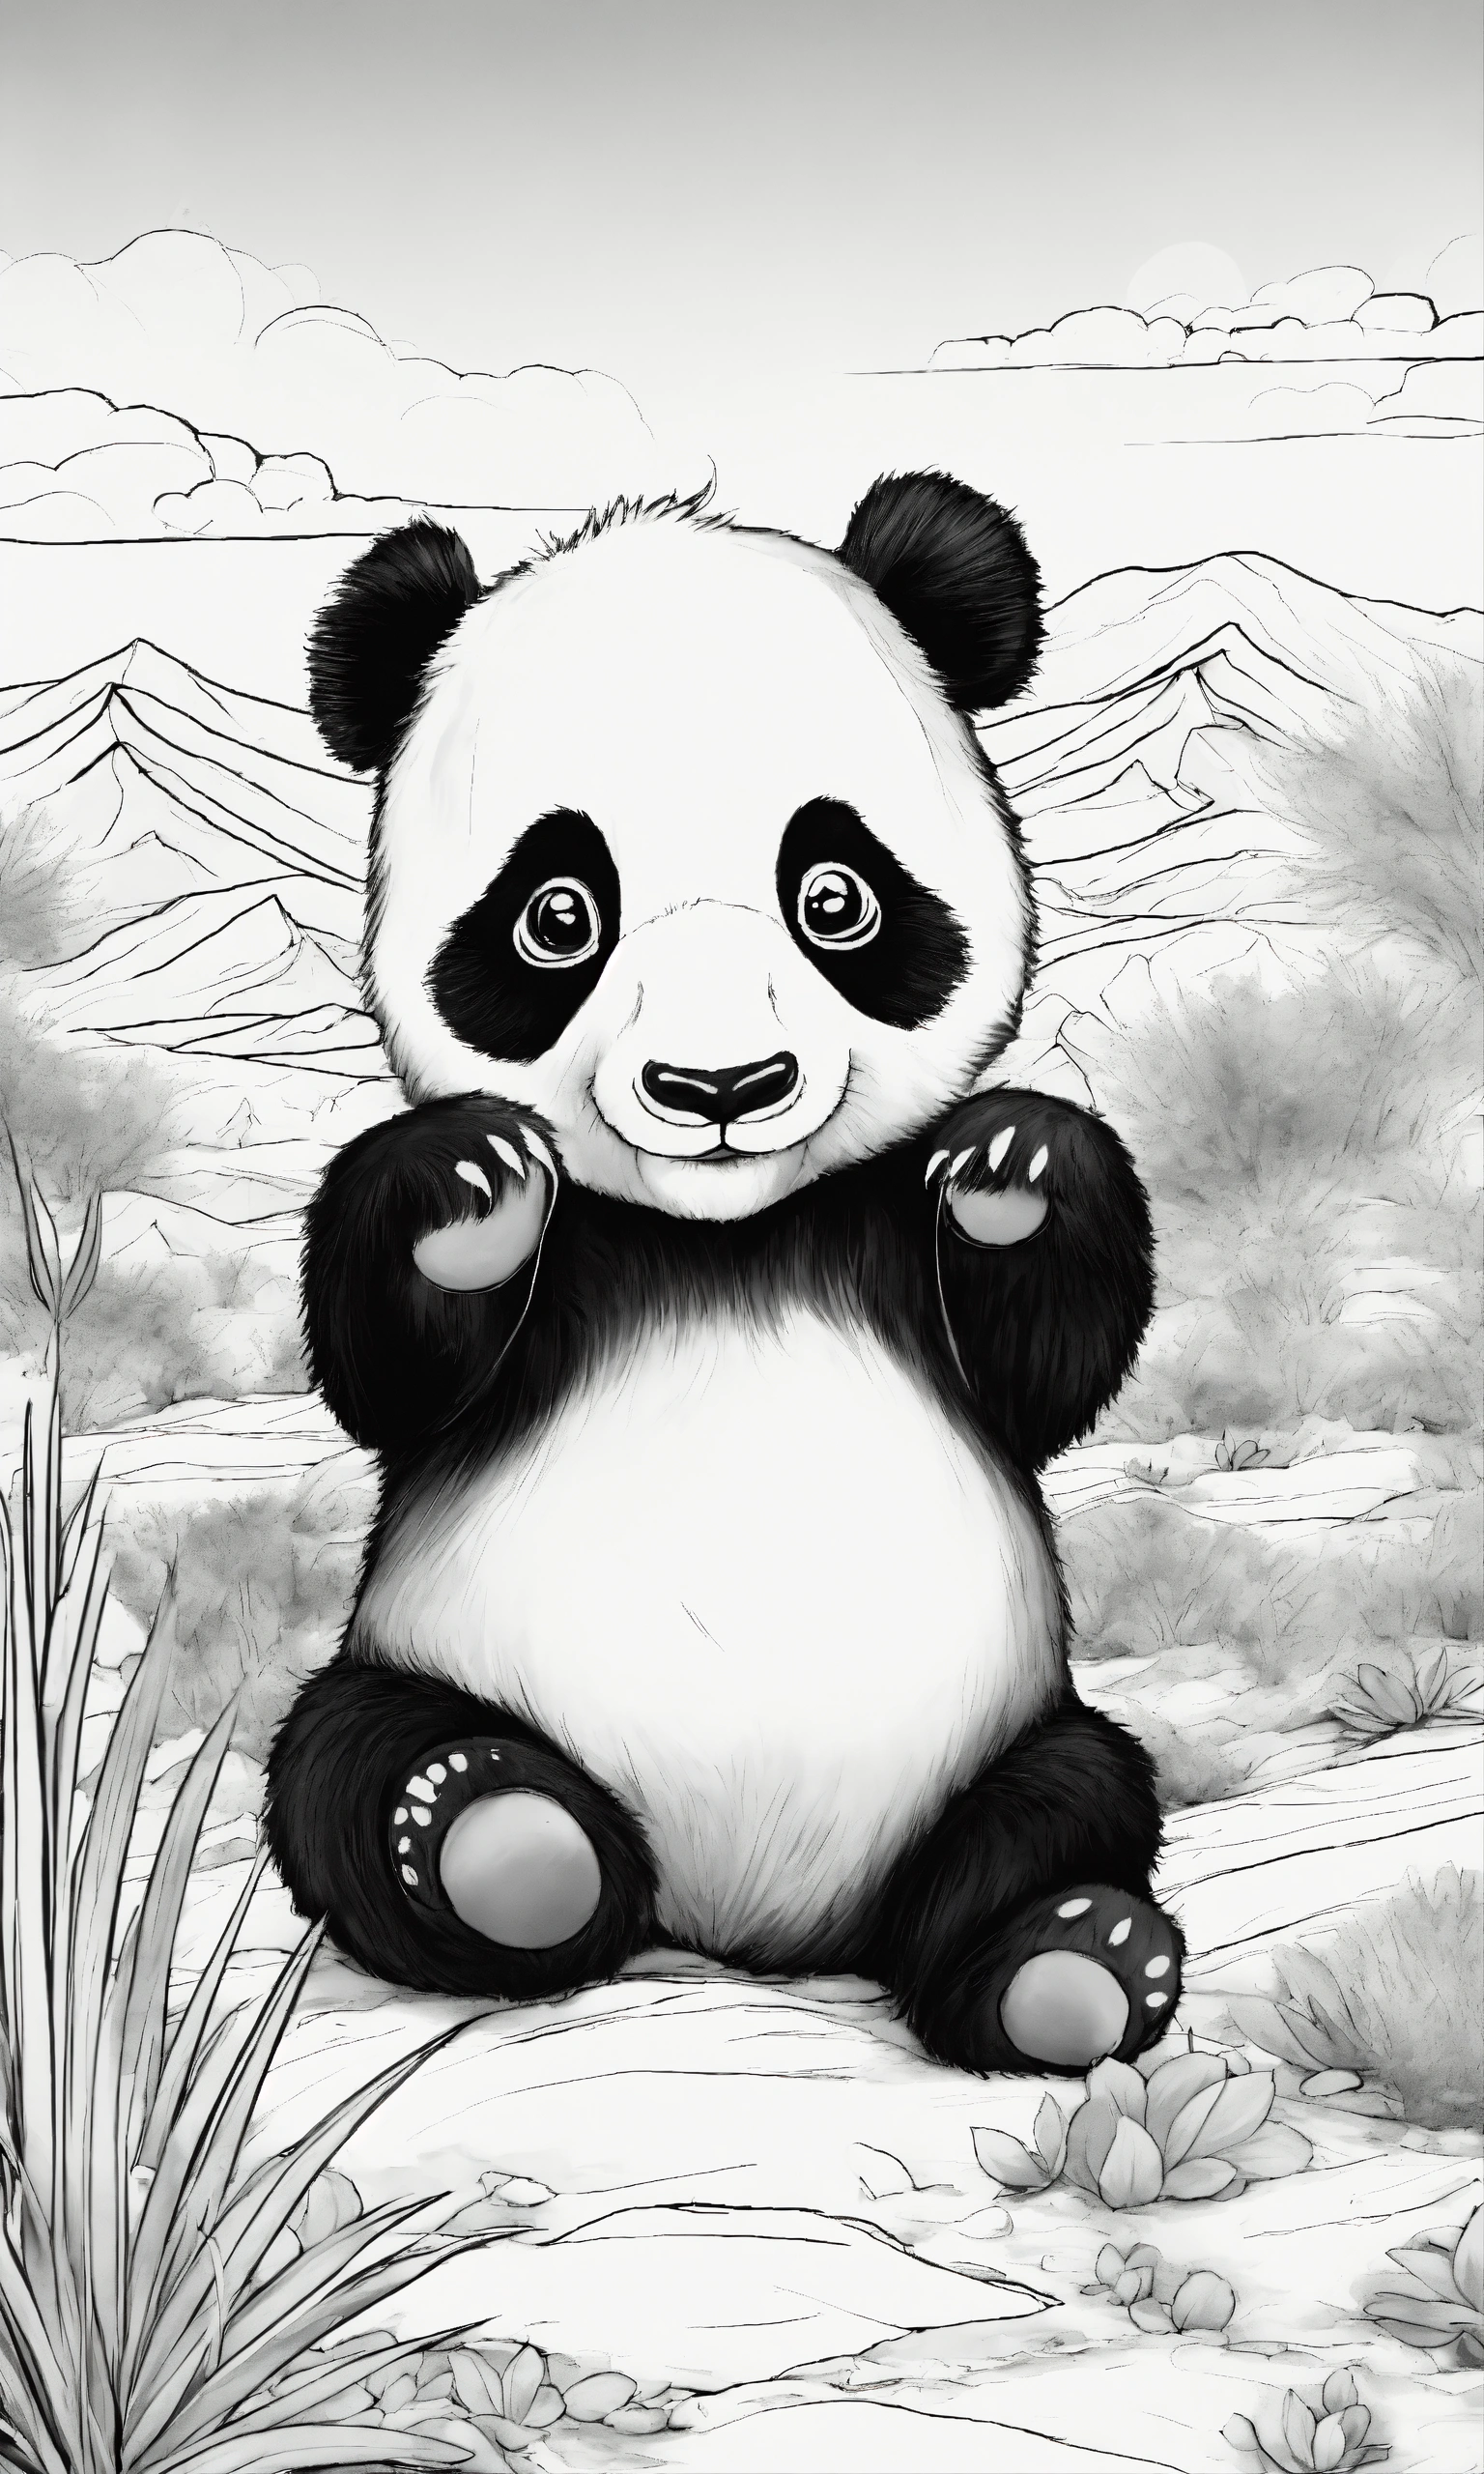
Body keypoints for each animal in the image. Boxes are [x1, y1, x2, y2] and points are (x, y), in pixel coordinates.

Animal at [264, 471, 1185, 2077]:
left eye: (836, 896)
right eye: (558, 915)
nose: (720, 1087)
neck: (726, 1234)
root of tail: (744, 1928)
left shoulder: (879, 1231)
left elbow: (1047, 1379)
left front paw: (1016, 1170)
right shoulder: (568, 1273)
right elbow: (386, 1371)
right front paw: (465, 1188)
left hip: (1001, 1728)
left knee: (1071, 1796)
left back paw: (1065, 1968)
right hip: (421, 1666)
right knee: (346, 1766)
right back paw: (495, 1839)